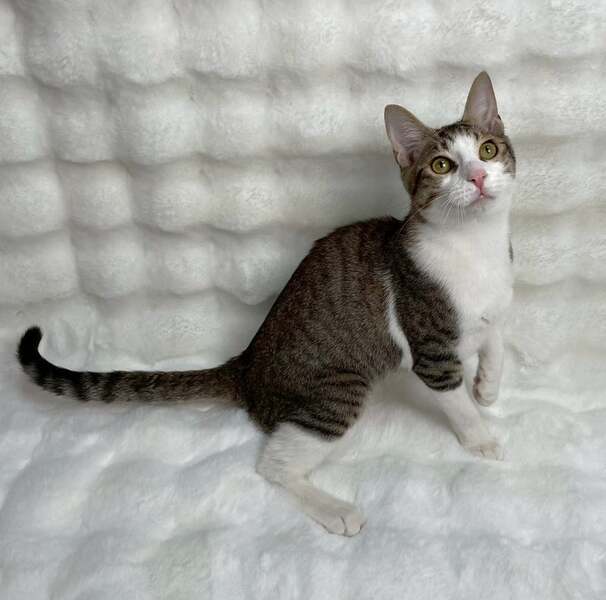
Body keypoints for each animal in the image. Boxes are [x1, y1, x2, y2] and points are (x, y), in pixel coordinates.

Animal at [18, 72, 515, 536]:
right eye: (441, 164)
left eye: (488, 150)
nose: (476, 176)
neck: (475, 245)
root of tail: (247, 365)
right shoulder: (430, 348)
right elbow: (455, 398)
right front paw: (481, 437)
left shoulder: (496, 300)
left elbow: (496, 337)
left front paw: (487, 386)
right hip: (337, 390)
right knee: (274, 464)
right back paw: (335, 509)